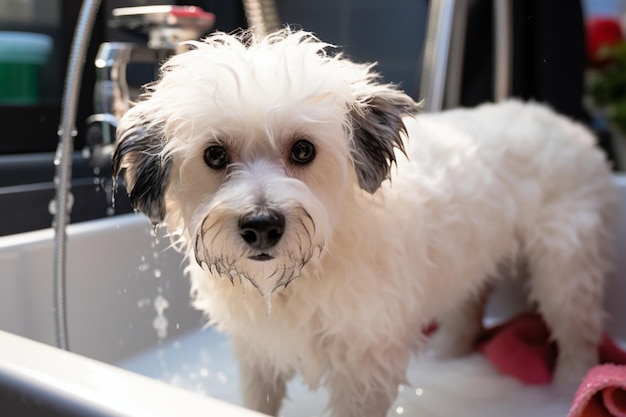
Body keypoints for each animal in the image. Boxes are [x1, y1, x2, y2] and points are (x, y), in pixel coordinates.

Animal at [112, 27, 616, 414]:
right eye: (214, 155)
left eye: (303, 150)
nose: (262, 225)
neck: (306, 274)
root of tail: (562, 122)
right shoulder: (258, 352)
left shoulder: (364, 366)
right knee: (470, 305)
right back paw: (447, 353)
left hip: (564, 267)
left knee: (577, 336)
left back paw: (565, 392)